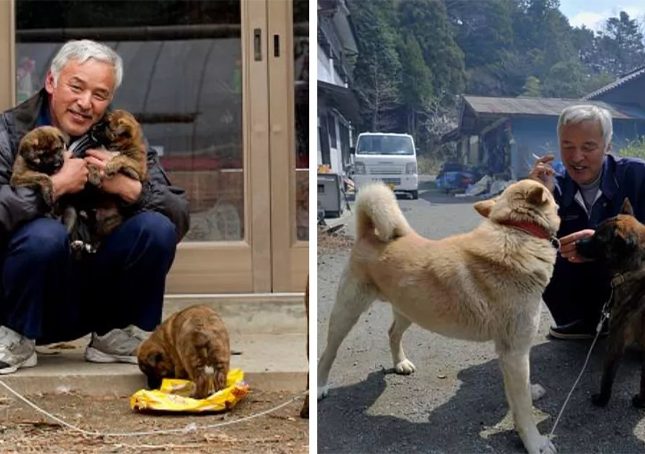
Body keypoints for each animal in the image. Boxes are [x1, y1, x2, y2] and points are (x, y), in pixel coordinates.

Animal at [320, 180, 560, 454]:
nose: (552, 174)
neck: (515, 228)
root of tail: (368, 234)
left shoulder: (513, 353)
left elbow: (520, 394)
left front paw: (531, 393)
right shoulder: (515, 352)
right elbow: (522, 410)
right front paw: (535, 442)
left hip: (408, 309)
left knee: (392, 333)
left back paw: (400, 363)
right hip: (347, 313)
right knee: (328, 353)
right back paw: (320, 386)